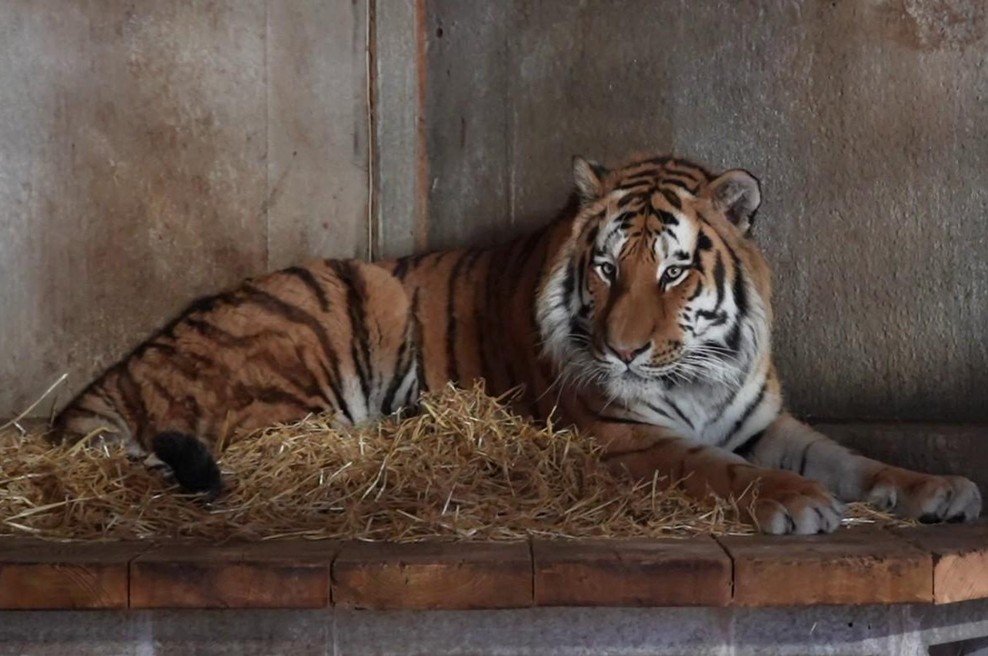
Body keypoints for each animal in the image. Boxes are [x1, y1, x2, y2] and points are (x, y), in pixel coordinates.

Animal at [54, 153, 982, 534]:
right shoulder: (626, 435)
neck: (699, 372)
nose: (625, 353)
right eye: (605, 268)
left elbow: (859, 460)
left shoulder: (764, 422)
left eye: (675, 272)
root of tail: (123, 368)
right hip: (340, 309)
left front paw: (939, 490)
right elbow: (722, 469)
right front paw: (796, 504)